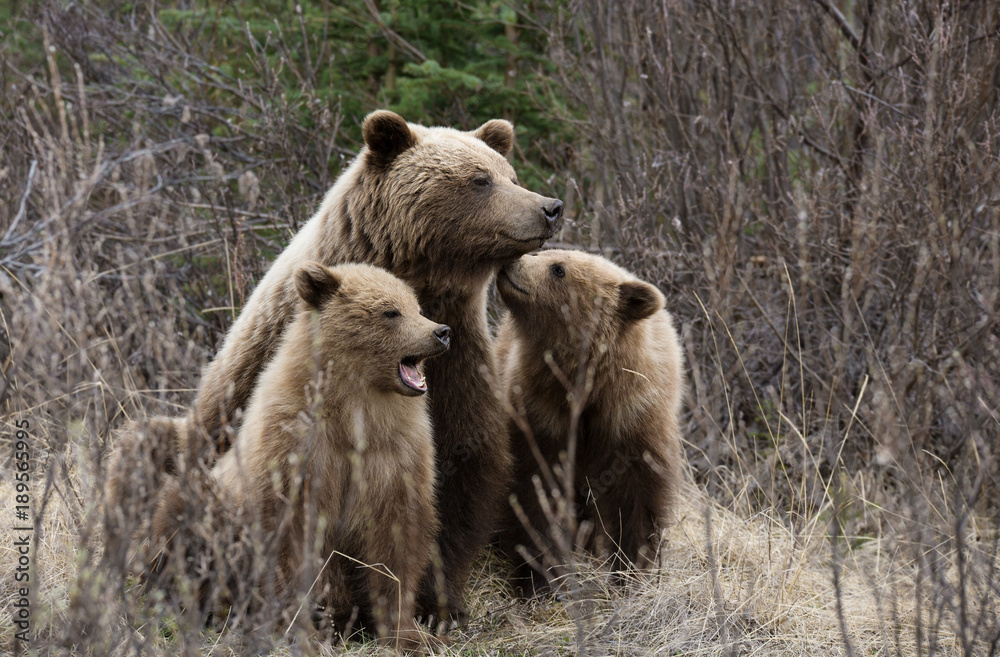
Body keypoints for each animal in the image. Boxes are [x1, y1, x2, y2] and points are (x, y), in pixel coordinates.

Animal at [149, 262, 451, 653]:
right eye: (390, 312)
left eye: (416, 307)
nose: (441, 331)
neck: (356, 411)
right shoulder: (294, 450)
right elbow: (286, 542)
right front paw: (300, 630)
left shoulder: (396, 457)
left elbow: (397, 543)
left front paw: (412, 633)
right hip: (211, 508)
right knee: (178, 519)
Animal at [492, 249, 685, 595]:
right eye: (544, 252)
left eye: (558, 269)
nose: (510, 262)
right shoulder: (541, 413)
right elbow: (537, 490)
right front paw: (538, 579)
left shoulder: (633, 419)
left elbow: (637, 500)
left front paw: (631, 572)